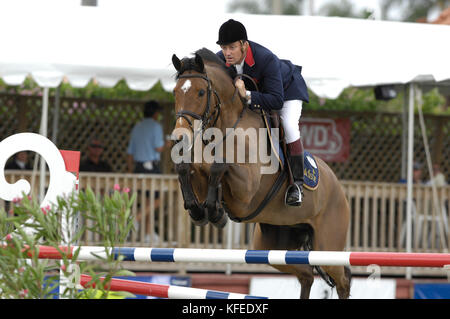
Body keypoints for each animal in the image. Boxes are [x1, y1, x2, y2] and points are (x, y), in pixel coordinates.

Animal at [171, 48, 350, 300]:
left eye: (201, 92)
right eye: (175, 92)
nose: (180, 136)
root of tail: (340, 190)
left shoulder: (245, 191)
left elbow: (220, 165)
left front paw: (215, 212)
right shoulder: (200, 175)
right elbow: (186, 168)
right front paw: (201, 211)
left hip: (327, 247)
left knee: (342, 280)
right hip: (273, 246)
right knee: (306, 274)